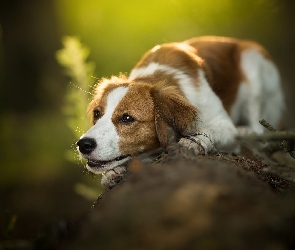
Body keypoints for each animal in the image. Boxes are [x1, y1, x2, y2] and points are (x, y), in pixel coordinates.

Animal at [77, 36, 286, 182]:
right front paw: (113, 171)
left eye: (127, 118)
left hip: (252, 63)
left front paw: (196, 140)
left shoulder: (224, 125)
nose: (83, 144)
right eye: (97, 114)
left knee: (259, 129)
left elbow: (210, 131)